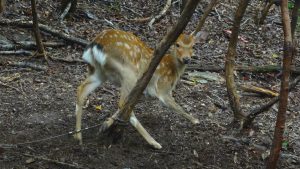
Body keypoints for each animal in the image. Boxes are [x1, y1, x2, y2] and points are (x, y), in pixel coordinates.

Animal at [74, 29, 205, 149]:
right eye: (177, 44)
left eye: (193, 46)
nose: (186, 59)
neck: (173, 70)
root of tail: (95, 45)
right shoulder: (163, 89)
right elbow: (176, 106)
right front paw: (196, 120)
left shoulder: (143, 90)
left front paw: (105, 125)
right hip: (129, 72)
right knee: (122, 103)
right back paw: (154, 142)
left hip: (98, 72)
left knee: (81, 90)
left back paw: (78, 137)